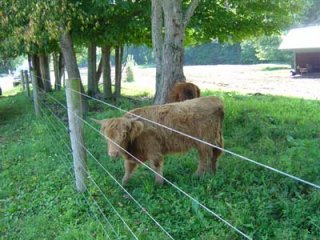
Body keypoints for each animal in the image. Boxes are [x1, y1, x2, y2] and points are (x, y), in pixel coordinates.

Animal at [96, 96, 224, 185]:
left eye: (124, 135)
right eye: (106, 136)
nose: (113, 154)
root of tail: (215, 99)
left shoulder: (153, 149)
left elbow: (156, 166)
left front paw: (159, 183)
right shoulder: (133, 155)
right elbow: (128, 168)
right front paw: (123, 183)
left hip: (203, 141)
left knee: (204, 157)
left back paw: (197, 176)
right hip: (216, 138)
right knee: (216, 153)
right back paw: (213, 173)